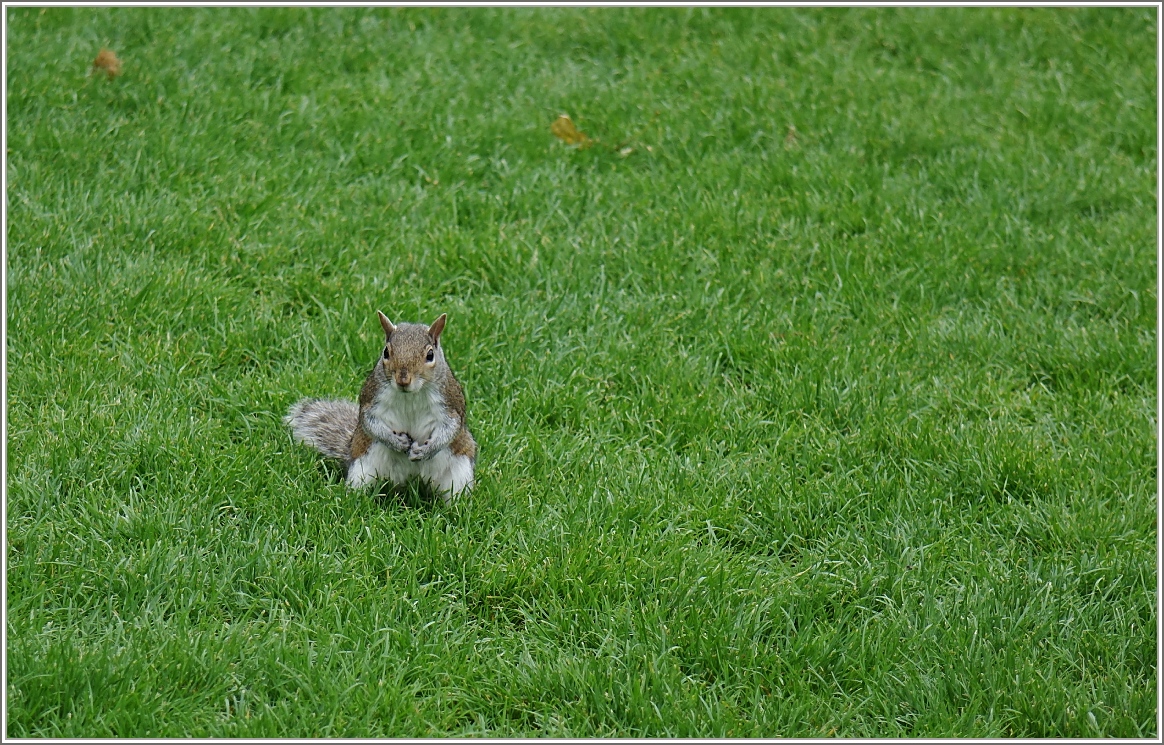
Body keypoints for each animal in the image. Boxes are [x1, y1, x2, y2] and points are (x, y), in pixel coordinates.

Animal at [284, 309, 474, 500]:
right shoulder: (371, 399)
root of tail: (410, 482)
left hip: (460, 474)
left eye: (430, 355)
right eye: (386, 352)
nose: (403, 380)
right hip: (361, 469)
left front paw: (425, 451)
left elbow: (451, 428)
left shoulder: (451, 404)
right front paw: (396, 442)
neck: (411, 395)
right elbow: (370, 423)